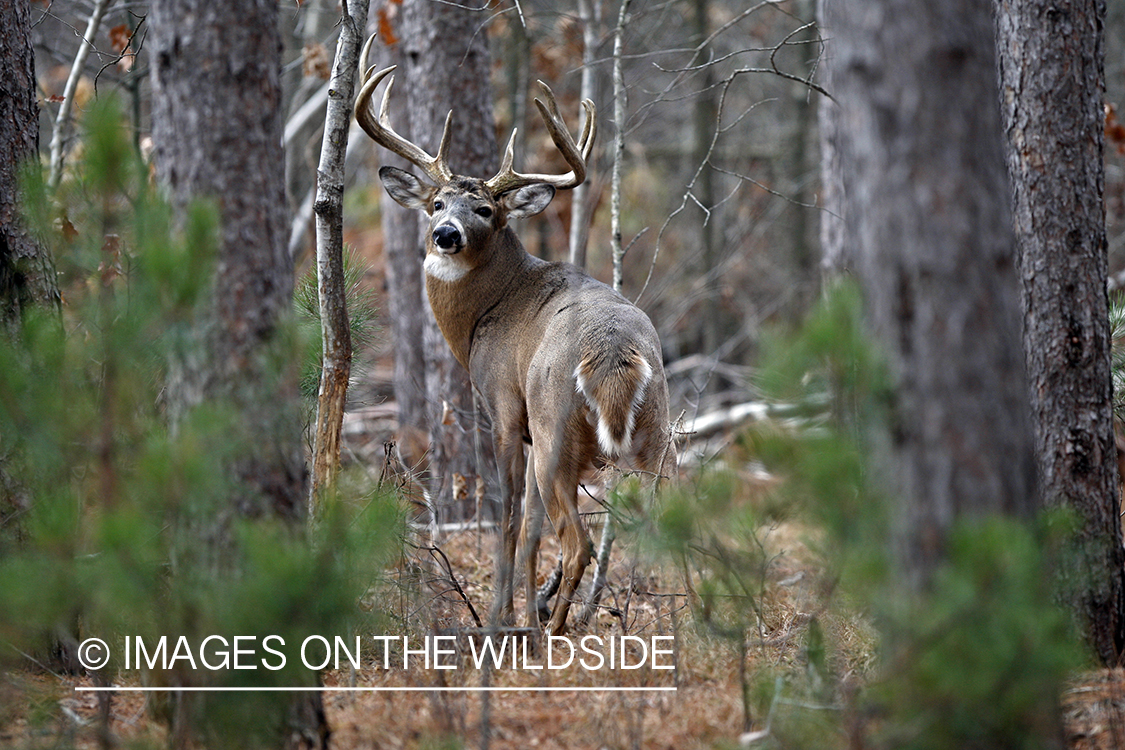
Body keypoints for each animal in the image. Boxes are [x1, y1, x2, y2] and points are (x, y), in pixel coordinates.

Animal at [355, 55, 670, 638]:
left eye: (484, 209)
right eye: (437, 203)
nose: (446, 234)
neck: (488, 314)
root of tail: (614, 353)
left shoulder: (504, 409)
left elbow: (506, 523)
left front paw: (499, 619)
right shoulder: (523, 428)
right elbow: (530, 534)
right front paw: (520, 610)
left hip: (554, 429)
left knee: (579, 542)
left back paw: (553, 631)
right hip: (657, 432)